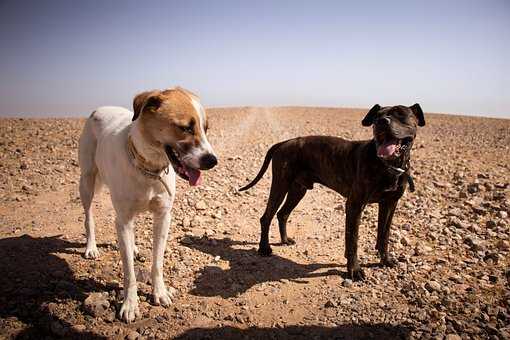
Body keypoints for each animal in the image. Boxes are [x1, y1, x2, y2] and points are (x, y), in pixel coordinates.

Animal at [78, 87, 217, 322]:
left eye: (205, 128)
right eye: (185, 128)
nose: (212, 161)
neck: (149, 168)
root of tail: (99, 109)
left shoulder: (163, 217)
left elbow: (157, 262)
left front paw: (159, 293)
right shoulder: (123, 220)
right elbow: (129, 272)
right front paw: (130, 305)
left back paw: (133, 248)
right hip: (87, 182)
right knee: (89, 217)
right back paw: (91, 248)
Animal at [241, 105, 424, 280]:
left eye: (401, 114)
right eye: (376, 117)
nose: (382, 122)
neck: (388, 165)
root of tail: (284, 142)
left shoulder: (390, 204)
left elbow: (383, 236)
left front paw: (385, 260)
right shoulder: (355, 205)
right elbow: (352, 240)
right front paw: (354, 270)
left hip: (297, 190)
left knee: (282, 214)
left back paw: (285, 240)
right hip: (280, 185)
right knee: (266, 217)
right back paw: (264, 248)